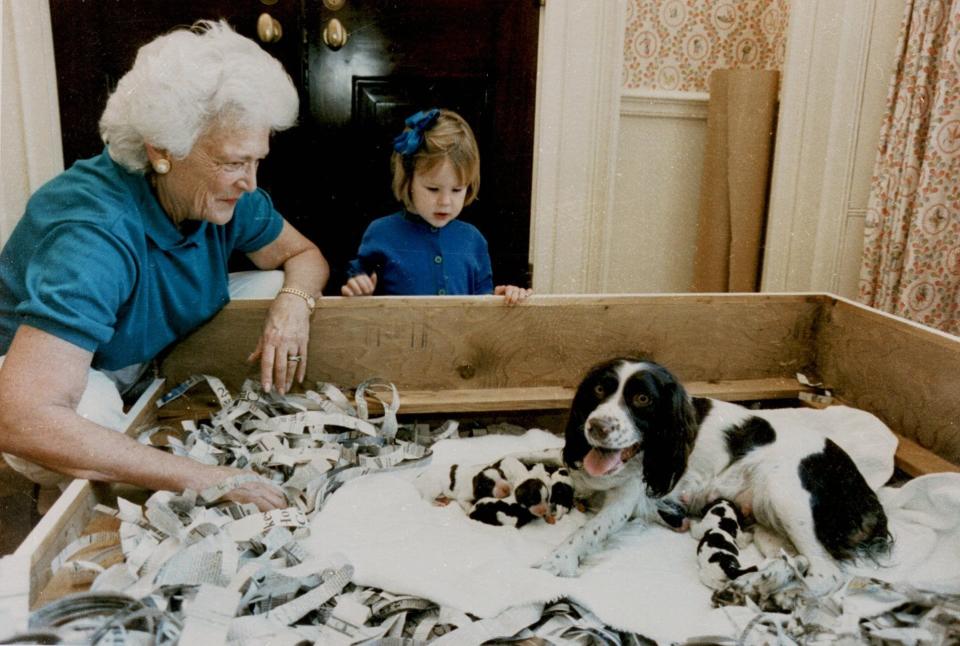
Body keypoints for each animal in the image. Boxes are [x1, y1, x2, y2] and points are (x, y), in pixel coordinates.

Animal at [540, 356, 892, 596]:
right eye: (600, 388)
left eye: (642, 399)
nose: (596, 427)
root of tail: (865, 493)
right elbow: (539, 451)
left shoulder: (628, 498)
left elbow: (589, 530)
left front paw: (558, 559)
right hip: (769, 525)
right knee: (795, 561)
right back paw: (761, 580)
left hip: (786, 494)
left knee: (826, 573)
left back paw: (763, 591)